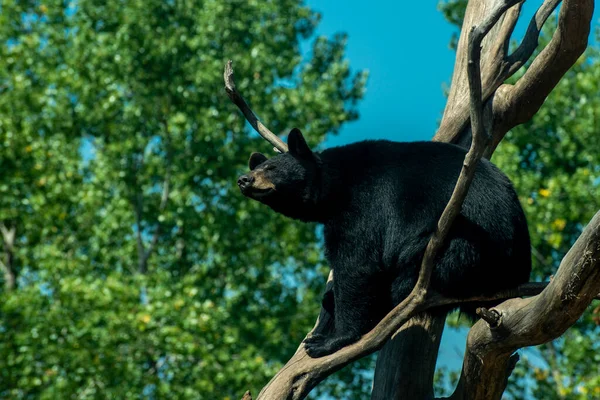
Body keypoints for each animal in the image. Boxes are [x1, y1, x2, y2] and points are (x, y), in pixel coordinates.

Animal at [238, 128, 528, 356]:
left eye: (271, 168)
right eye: (257, 166)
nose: (244, 179)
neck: (336, 186)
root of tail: (515, 274)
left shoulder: (363, 206)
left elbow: (357, 264)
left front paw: (330, 340)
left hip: (464, 244)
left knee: (408, 271)